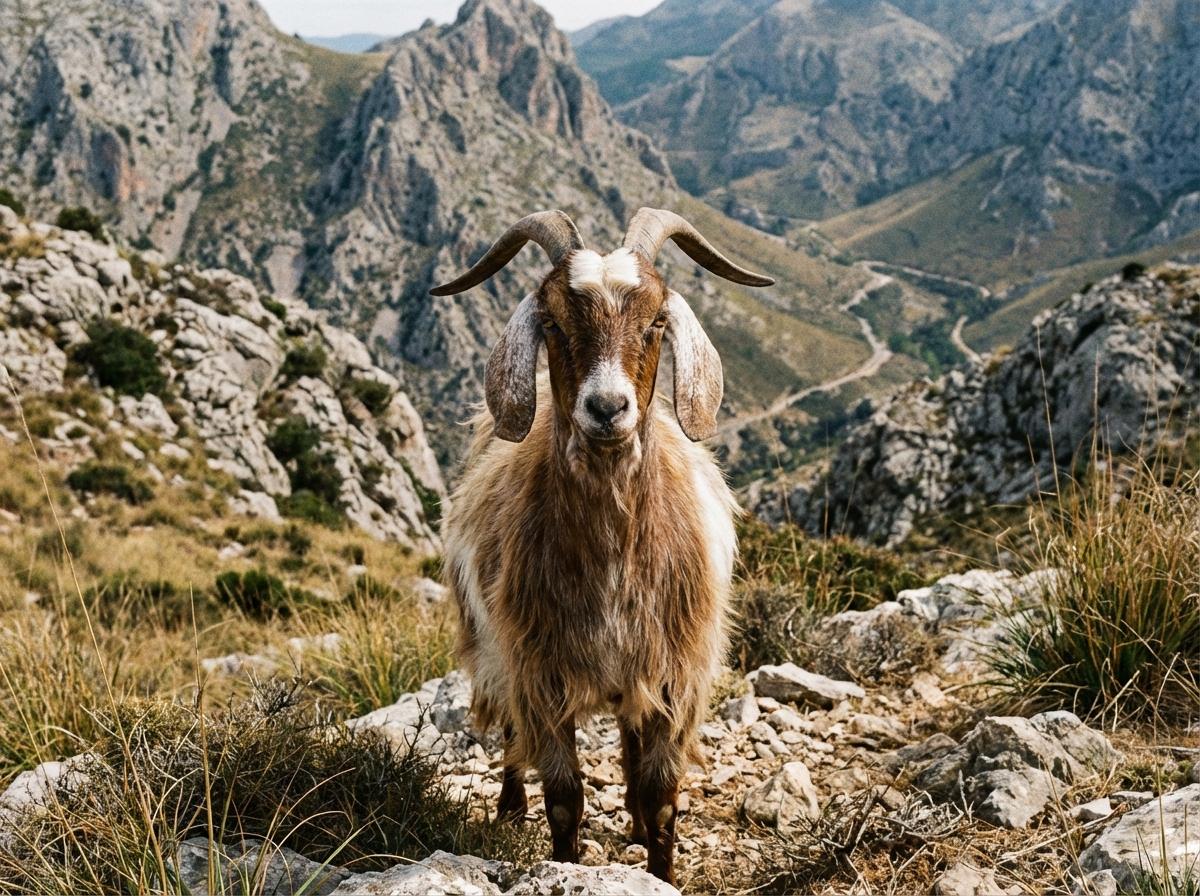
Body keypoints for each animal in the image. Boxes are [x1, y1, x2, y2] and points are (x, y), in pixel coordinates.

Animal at [433, 208, 773, 883]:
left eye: (657, 321)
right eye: (554, 322)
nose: (608, 408)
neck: (615, 556)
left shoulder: (673, 674)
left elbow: (661, 795)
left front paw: (658, 867)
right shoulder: (540, 671)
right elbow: (564, 800)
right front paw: (561, 858)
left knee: (629, 747)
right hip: (489, 647)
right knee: (508, 730)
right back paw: (510, 806)